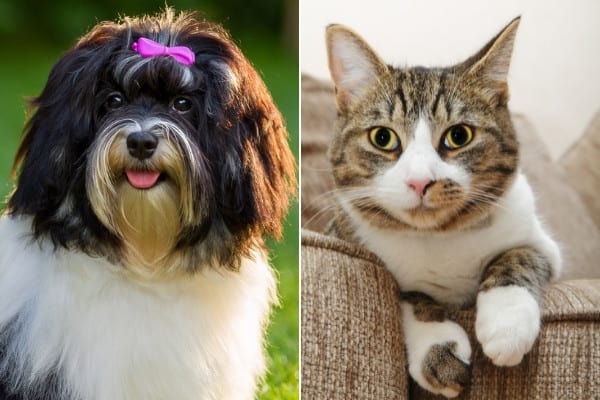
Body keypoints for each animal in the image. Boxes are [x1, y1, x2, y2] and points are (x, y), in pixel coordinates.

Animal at [324, 17, 564, 398]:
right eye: (382, 138)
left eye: (459, 136)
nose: (420, 181)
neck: (440, 237)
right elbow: (411, 293)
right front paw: (438, 347)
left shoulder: (544, 245)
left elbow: (518, 256)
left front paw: (507, 322)